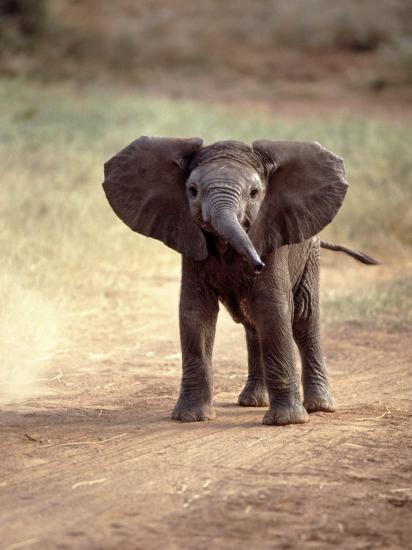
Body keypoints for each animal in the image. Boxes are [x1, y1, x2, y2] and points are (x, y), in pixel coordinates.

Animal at [103, 137, 376, 426]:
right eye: (192, 191)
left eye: (255, 193)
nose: (257, 265)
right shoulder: (191, 244)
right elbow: (195, 313)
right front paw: (190, 417)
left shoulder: (272, 239)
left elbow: (273, 308)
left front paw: (286, 421)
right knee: (253, 323)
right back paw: (253, 401)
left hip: (310, 252)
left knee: (303, 319)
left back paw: (320, 407)